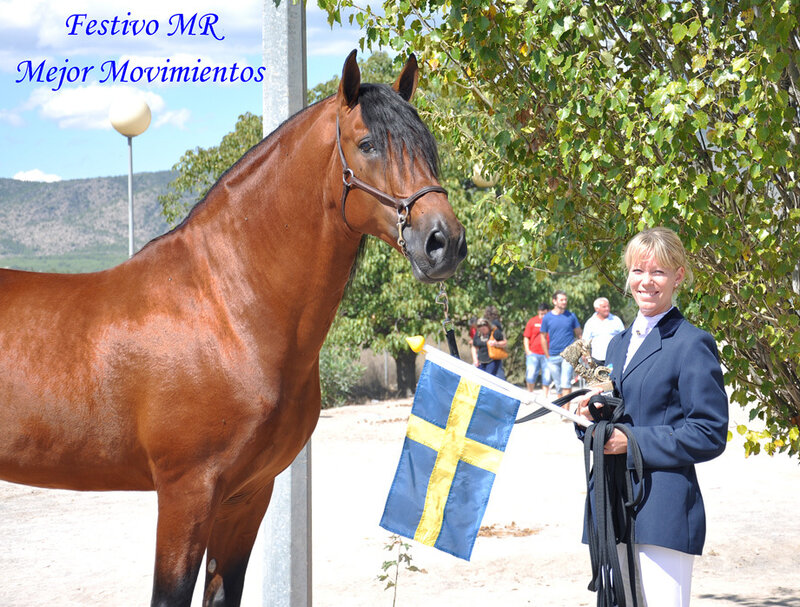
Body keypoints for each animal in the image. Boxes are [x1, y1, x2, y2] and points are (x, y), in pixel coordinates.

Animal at [0, 51, 466, 607]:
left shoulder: (247, 495)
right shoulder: (187, 493)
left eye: (427, 143)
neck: (225, 311)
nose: (444, 242)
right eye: (367, 143)